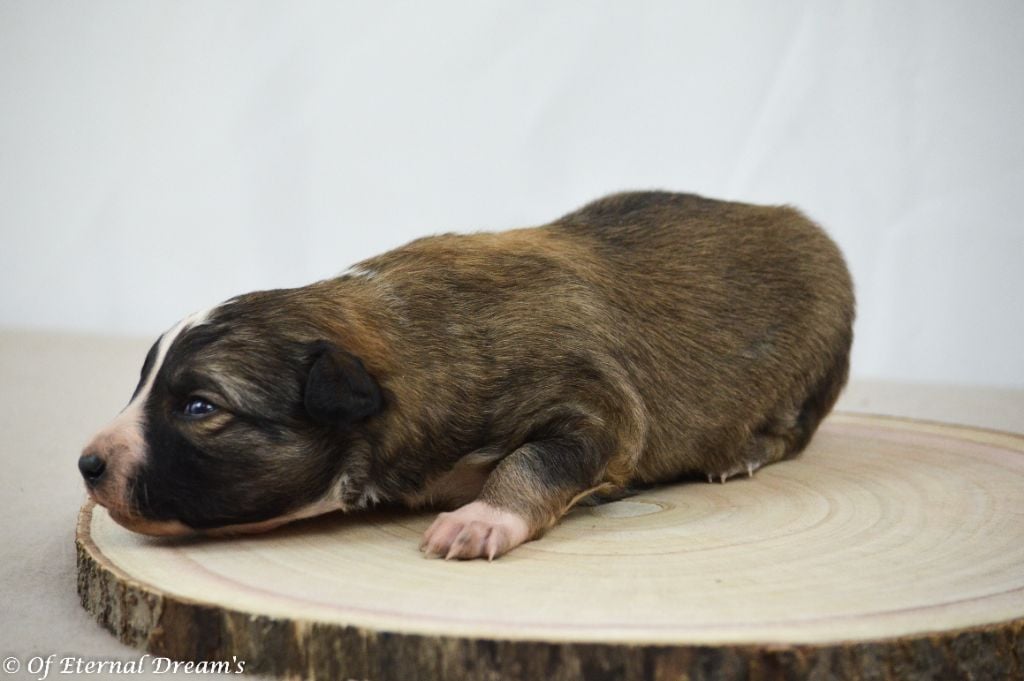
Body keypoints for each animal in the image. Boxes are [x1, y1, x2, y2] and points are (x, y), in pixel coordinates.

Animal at [80, 191, 854, 560]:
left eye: (200, 407)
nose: (87, 463)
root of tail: (798, 221)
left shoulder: (597, 404)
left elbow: (536, 459)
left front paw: (481, 518)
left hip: (818, 358)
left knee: (792, 429)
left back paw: (743, 452)